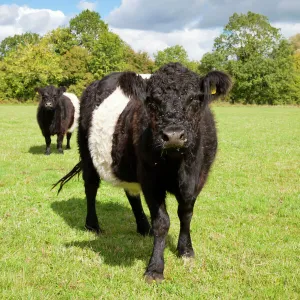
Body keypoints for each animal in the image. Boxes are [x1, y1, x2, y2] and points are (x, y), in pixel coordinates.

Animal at [53, 62, 232, 282]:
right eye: (152, 101)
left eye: (194, 99)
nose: (173, 135)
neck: (177, 164)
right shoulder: (150, 181)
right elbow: (162, 222)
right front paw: (155, 269)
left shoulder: (197, 179)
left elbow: (186, 214)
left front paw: (186, 250)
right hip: (86, 153)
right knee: (91, 188)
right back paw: (93, 225)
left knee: (131, 194)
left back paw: (143, 227)